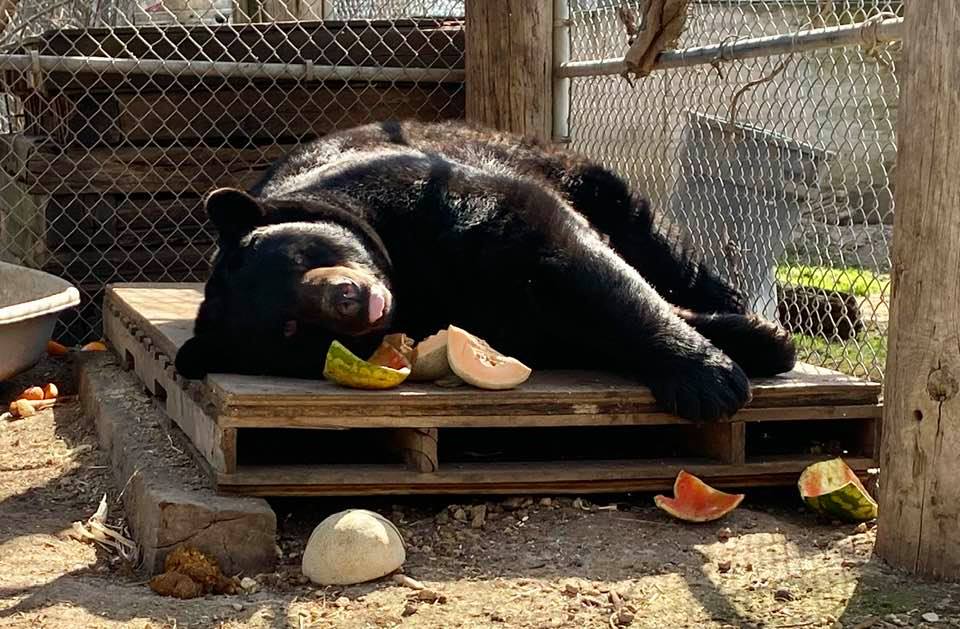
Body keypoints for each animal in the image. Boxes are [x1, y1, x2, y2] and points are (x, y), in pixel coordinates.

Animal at [174, 120, 796, 422]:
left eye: (304, 256)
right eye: (290, 330)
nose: (347, 299)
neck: (405, 277)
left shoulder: (418, 191)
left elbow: (562, 250)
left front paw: (713, 374)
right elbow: (547, 326)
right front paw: (740, 351)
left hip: (561, 165)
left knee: (645, 232)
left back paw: (730, 299)